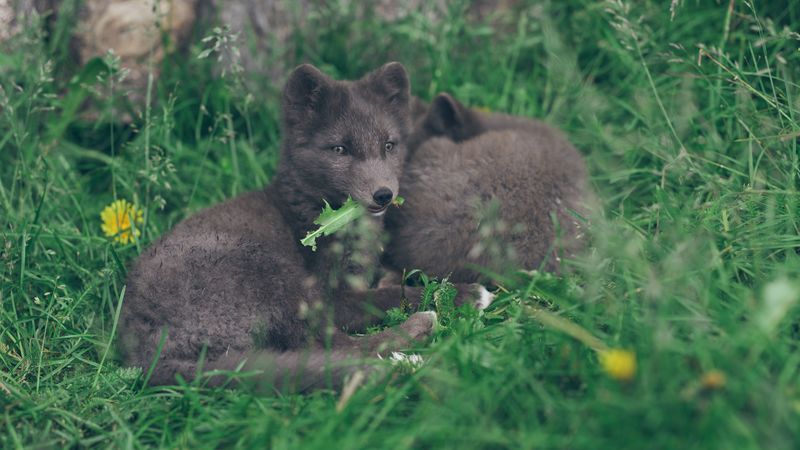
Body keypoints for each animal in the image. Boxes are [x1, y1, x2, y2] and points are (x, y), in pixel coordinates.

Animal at [119, 64, 485, 393]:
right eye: (339, 149)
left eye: (389, 145)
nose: (383, 194)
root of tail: (144, 353)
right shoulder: (331, 295)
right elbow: (388, 297)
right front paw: (462, 293)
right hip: (277, 280)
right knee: (332, 348)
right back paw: (412, 346)